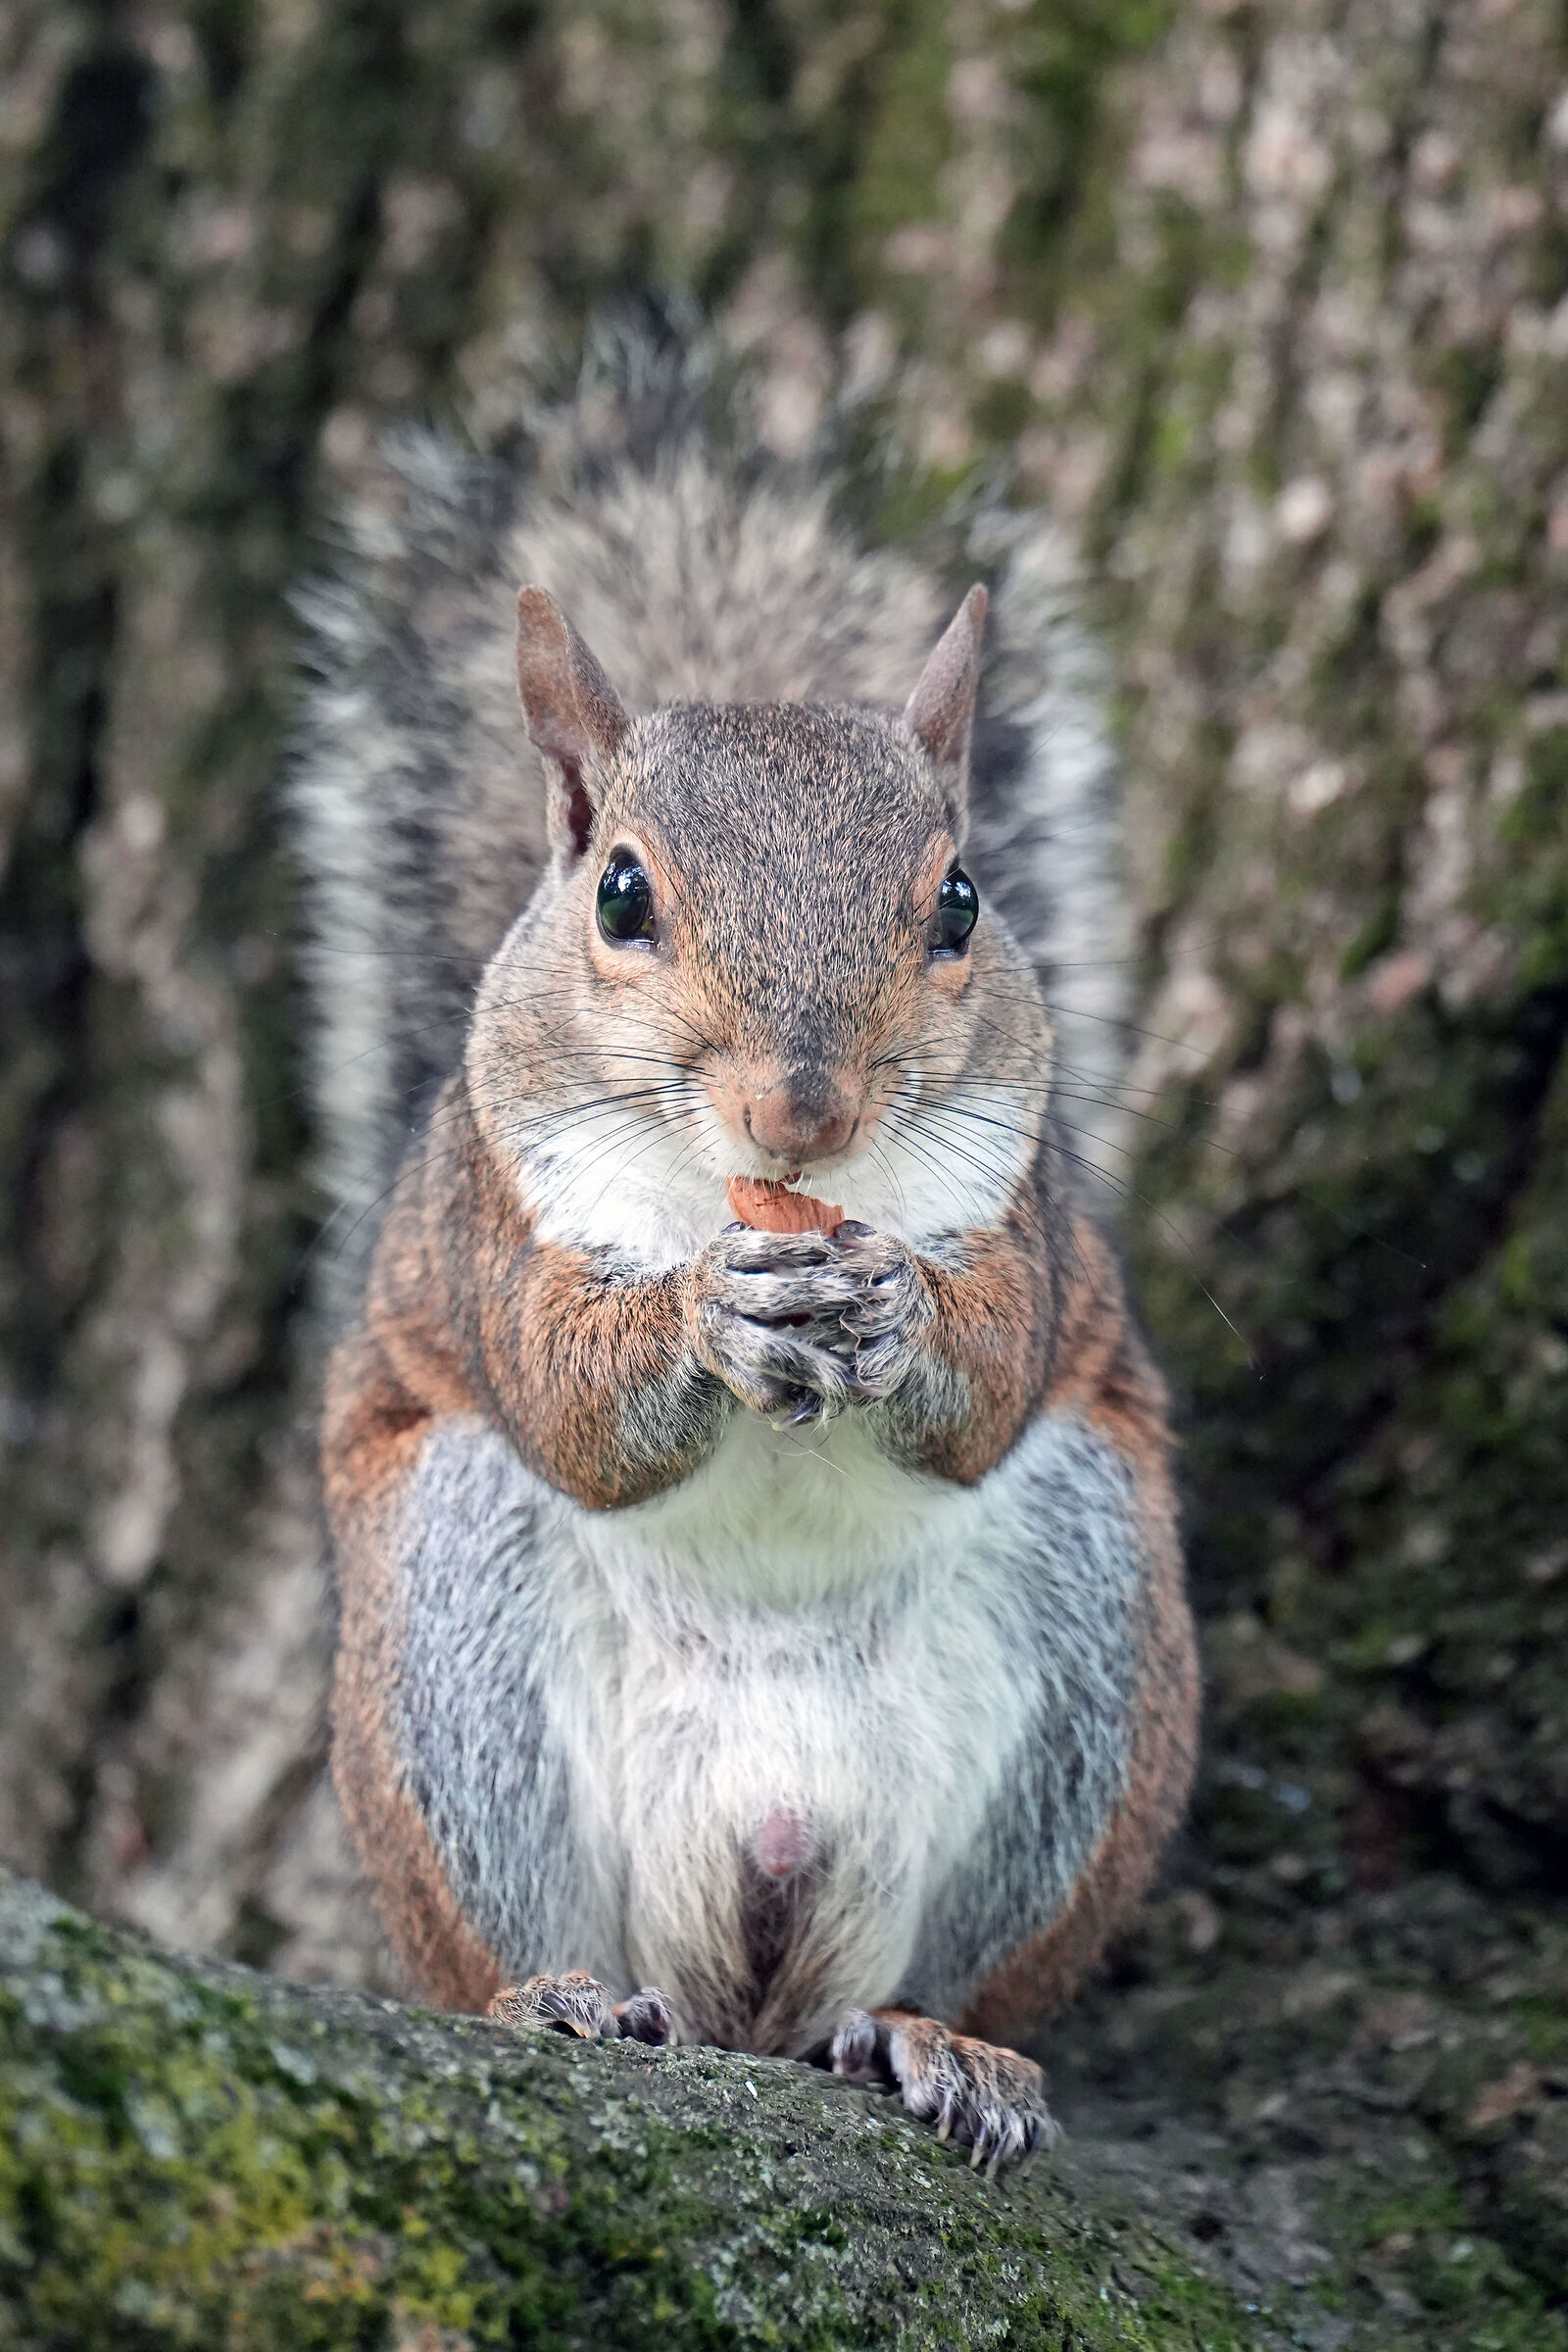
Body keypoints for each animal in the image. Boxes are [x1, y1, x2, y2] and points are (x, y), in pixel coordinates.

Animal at [294, 327, 1199, 2169]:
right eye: (621, 895)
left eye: (961, 900)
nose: (805, 1111)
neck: (738, 1190)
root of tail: (749, 1963)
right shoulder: (487, 1225)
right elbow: (570, 1401)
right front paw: (711, 1319)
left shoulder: (1032, 1215)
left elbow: (995, 1370)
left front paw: (901, 1308)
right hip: (445, 1653)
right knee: (522, 1934)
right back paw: (564, 1998)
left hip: (1088, 1662)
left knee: (931, 1976)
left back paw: (939, 2045)